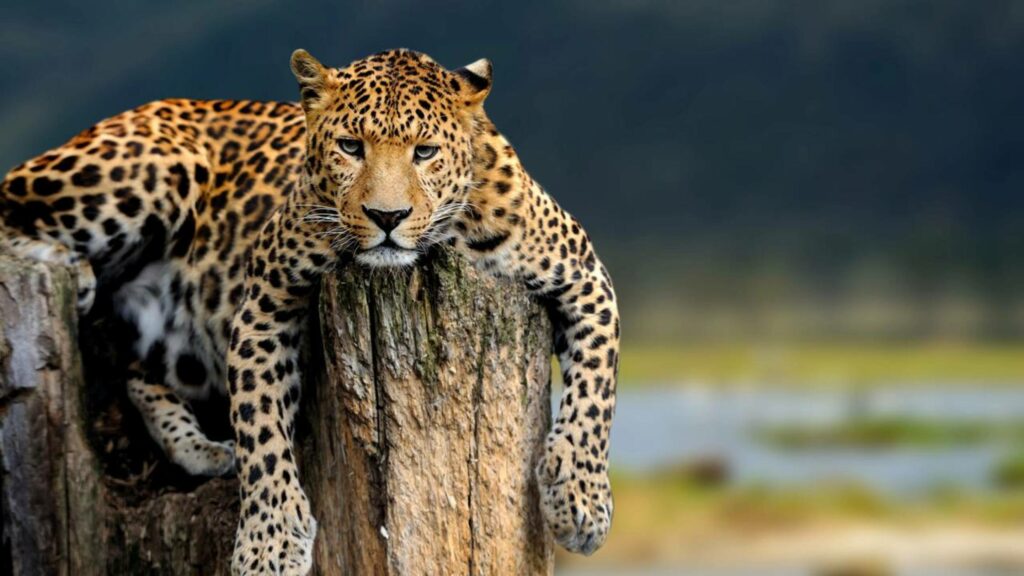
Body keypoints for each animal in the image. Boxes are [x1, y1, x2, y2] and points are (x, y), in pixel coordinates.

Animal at [0, 49, 619, 574]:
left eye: (424, 152)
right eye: (350, 146)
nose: (387, 216)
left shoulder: (586, 277)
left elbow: (596, 392)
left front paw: (580, 502)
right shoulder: (264, 302)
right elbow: (261, 428)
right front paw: (269, 543)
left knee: (138, 373)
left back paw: (204, 450)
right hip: (152, 167)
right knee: (11, 206)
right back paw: (73, 269)